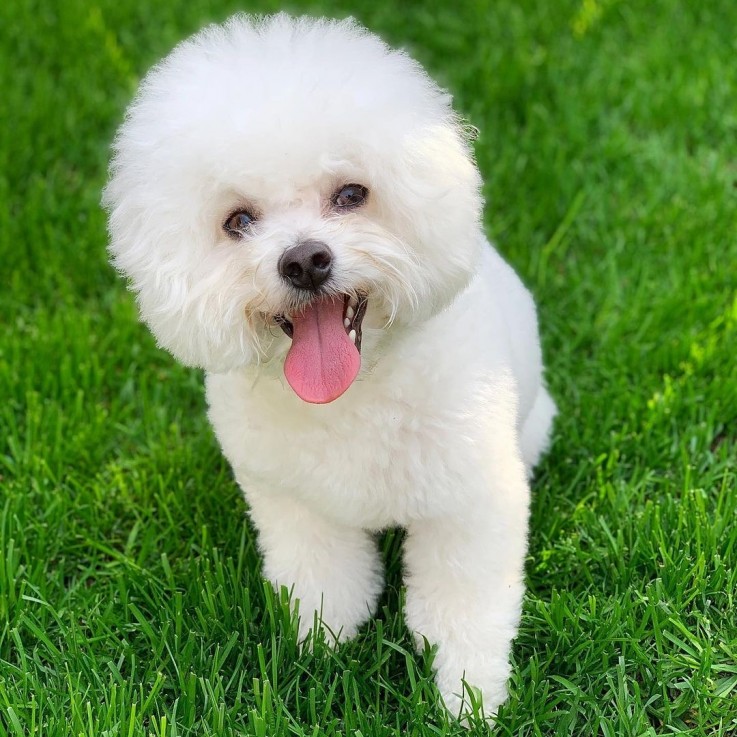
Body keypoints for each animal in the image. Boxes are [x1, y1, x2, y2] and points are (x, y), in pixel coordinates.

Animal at [102, 12, 552, 720]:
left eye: (351, 193)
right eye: (237, 221)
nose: (304, 260)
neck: (354, 392)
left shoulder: (468, 505)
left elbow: (462, 609)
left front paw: (469, 698)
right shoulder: (294, 504)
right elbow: (324, 582)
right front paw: (321, 652)